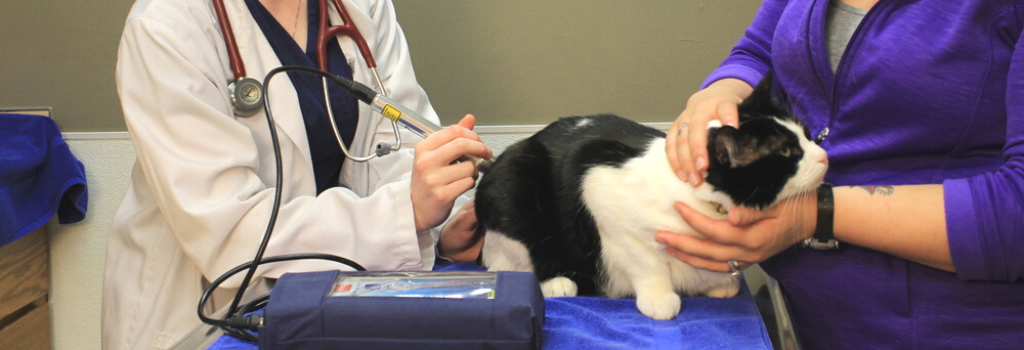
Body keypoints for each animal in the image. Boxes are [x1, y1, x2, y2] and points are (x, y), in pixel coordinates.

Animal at [475, 74, 827, 319]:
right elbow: (646, 263)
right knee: (509, 262)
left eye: (809, 135)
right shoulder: (596, 182)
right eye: (787, 152)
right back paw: (556, 282)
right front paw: (659, 298)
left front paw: (716, 284)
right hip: (516, 178)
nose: (824, 157)